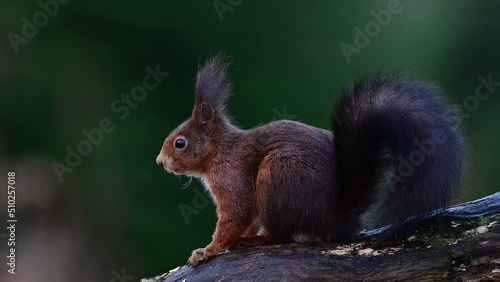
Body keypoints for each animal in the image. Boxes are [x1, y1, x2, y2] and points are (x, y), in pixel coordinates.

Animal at [156, 54, 468, 266]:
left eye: (180, 143)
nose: (160, 161)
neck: (220, 151)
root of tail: (337, 218)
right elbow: (246, 219)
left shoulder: (233, 179)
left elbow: (234, 218)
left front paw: (207, 250)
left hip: (278, 175)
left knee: (282, 235)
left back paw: (256, 240)